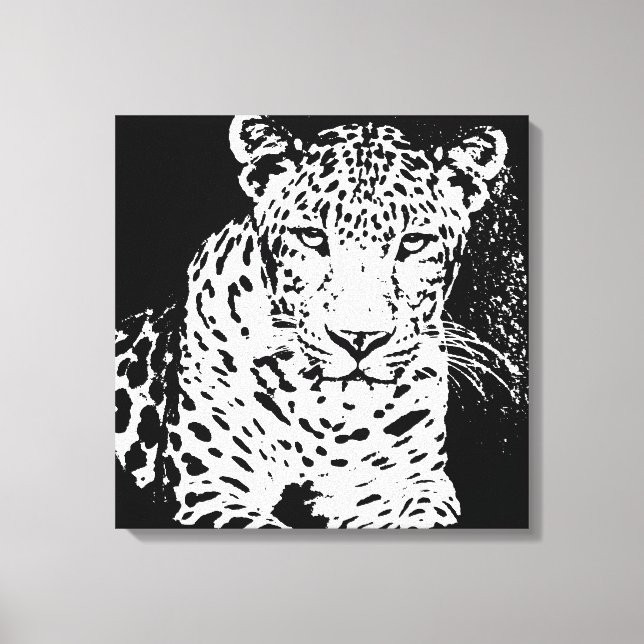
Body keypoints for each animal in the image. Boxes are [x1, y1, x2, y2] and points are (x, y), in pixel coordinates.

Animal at [115, 115, 509, 528]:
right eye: (312, 237)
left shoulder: (410, 482)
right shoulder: (209, 491)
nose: (359, 338)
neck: (326, 411)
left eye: (414, 242)